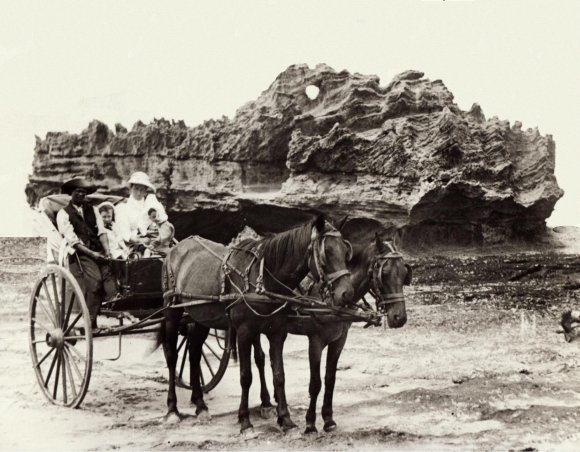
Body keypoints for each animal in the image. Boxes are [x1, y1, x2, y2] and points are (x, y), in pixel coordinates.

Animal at [157, 215, 354, 434]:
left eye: (346, 251)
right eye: (326, 253)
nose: (347, 293)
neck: (263, 278)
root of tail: (176, 248)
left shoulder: (277, 332)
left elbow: (279, 375)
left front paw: (285, 419)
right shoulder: (244, 332)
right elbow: (246, 376)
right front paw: (245, 421)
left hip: (200, 316)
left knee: (194, 354)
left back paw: (200, 406)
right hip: (172, 309)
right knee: (172, 356)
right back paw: (172, 410)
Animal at [251, 231, 410, 432]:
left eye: (405, 273)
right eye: (385, 273)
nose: (400, 317)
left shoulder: (339, 340)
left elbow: (330, 379)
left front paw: (328, 419)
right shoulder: (315, 341)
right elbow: (315, 383)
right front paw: (310, 423)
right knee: (260, 359)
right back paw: (266, 403)